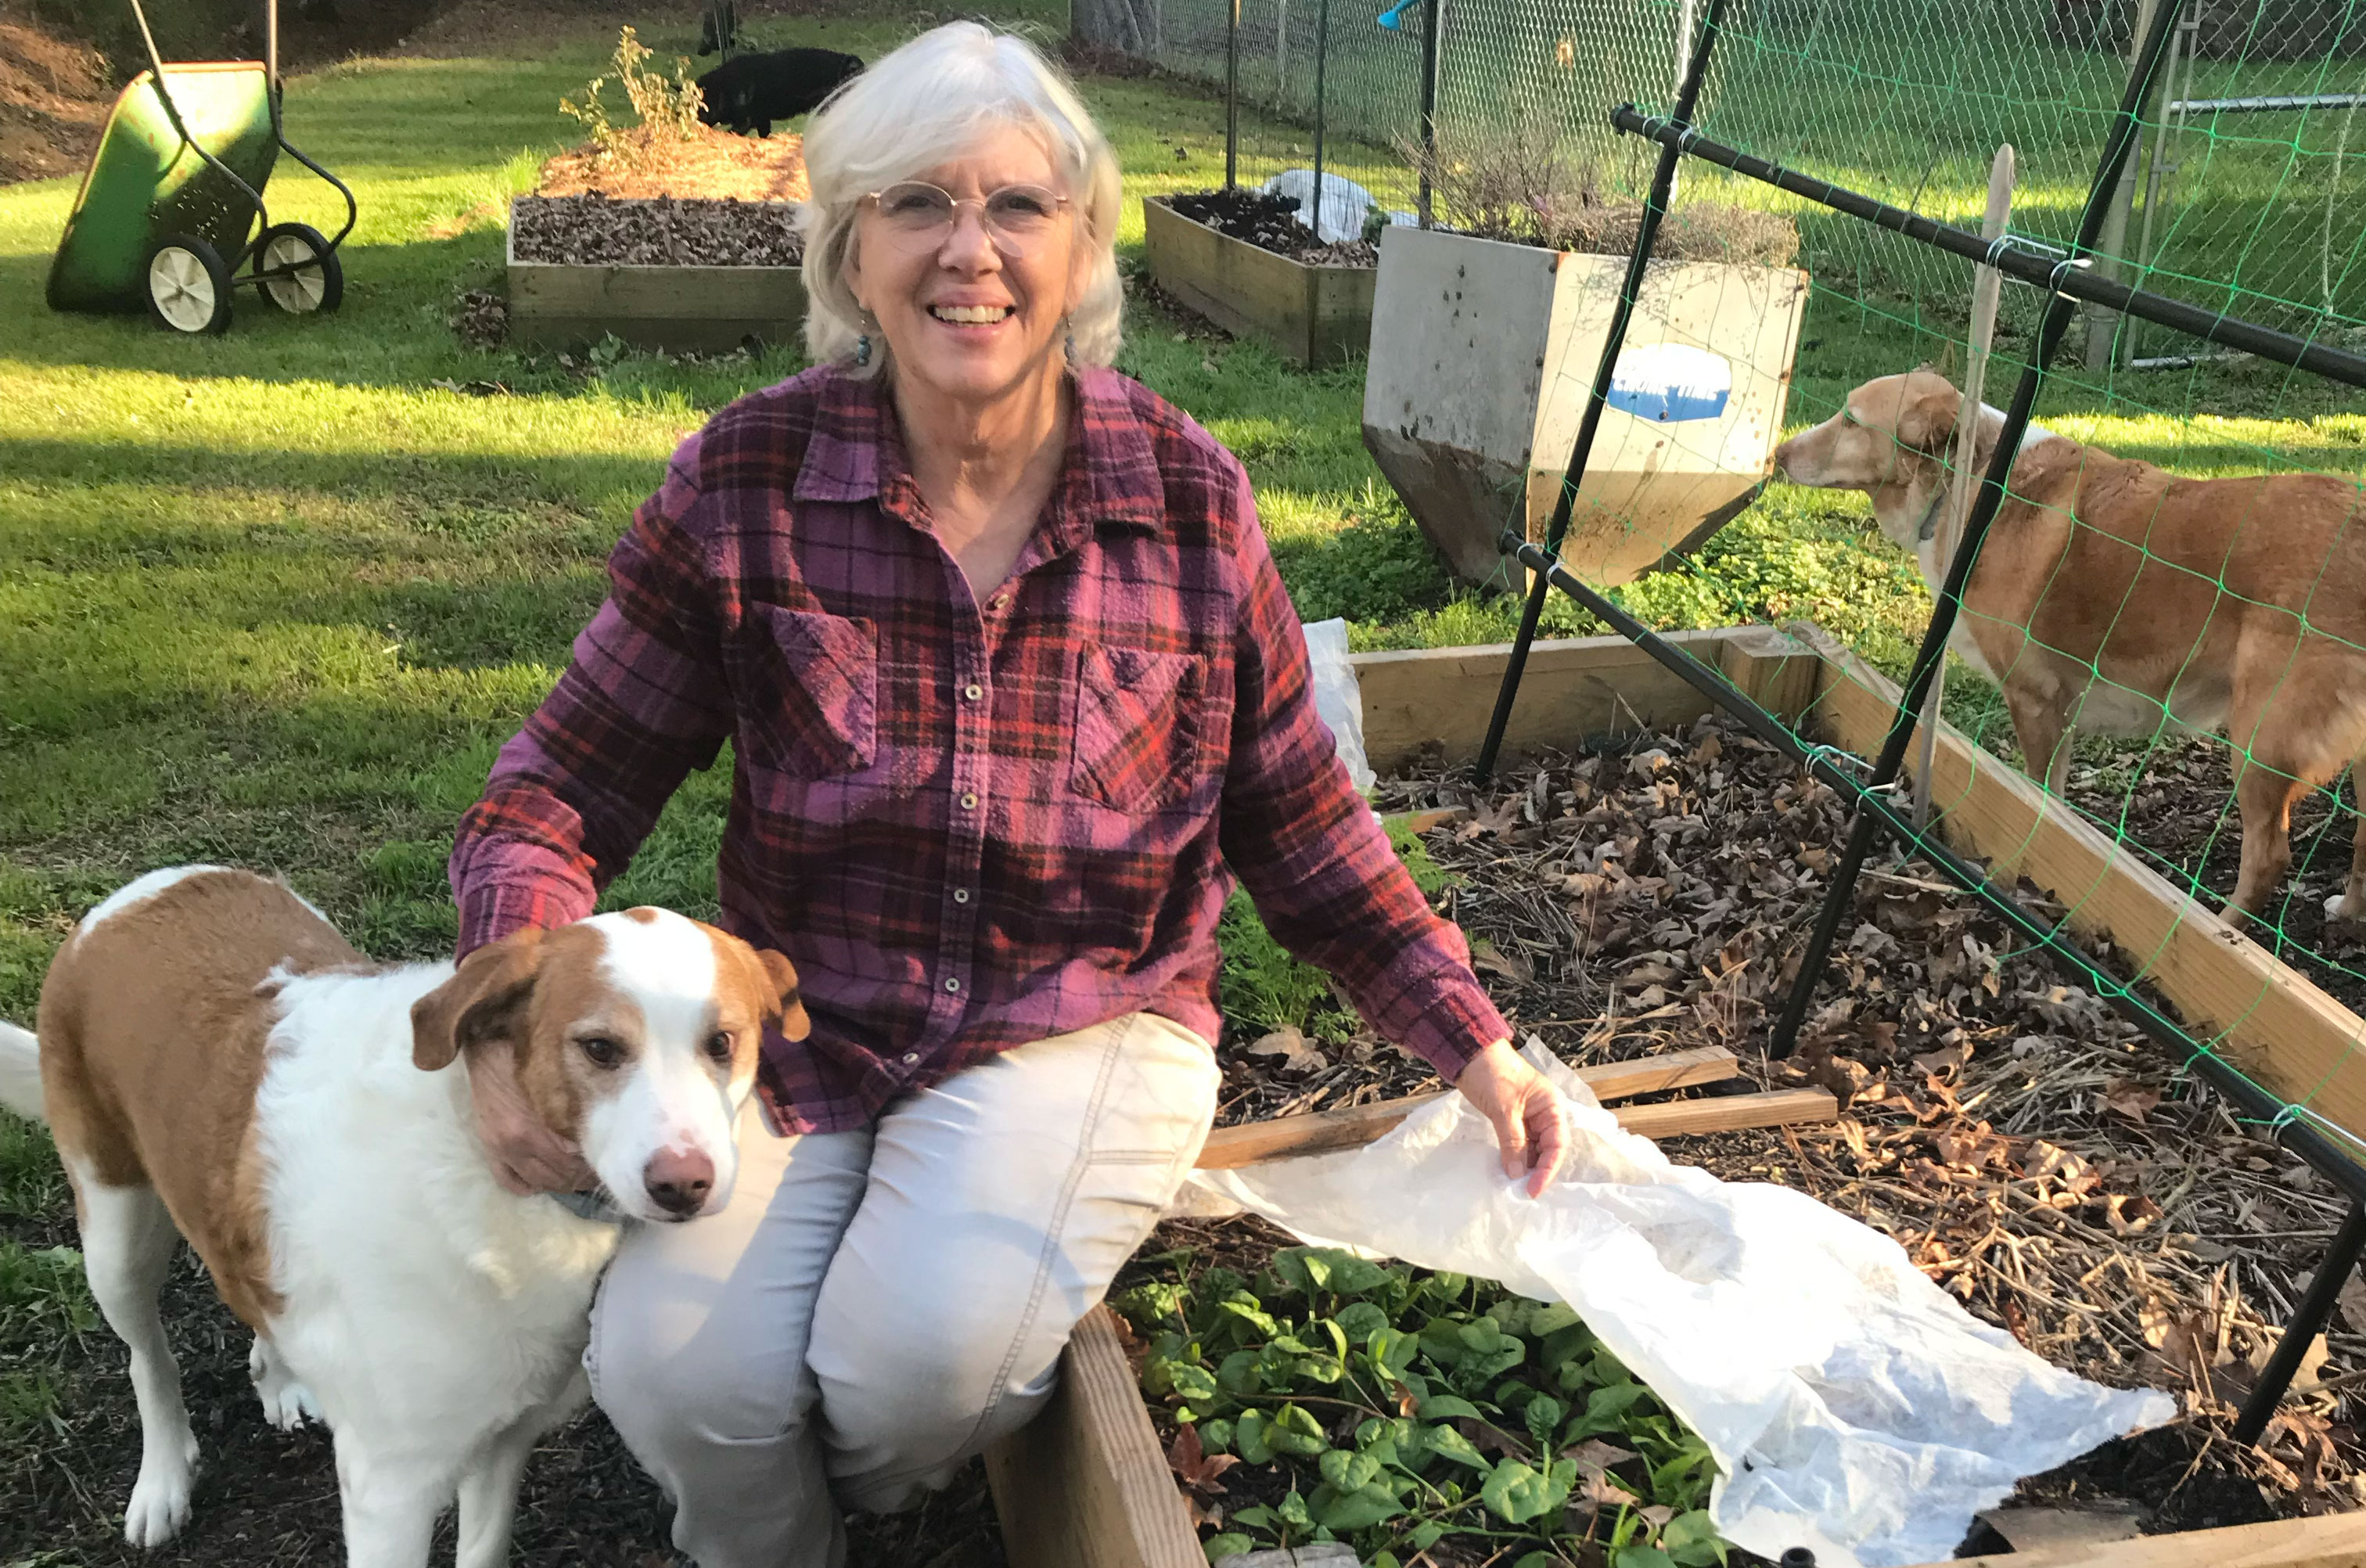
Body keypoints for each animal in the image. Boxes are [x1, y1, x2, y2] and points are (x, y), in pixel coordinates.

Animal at [0, 865, 809, 1560]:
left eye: (723, 1044)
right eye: (601, 1049)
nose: (685, 1185)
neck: (482, 1162)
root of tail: (137, 894)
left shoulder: (501, 1443)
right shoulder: (390, 1490)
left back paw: (279, 1376)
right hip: (115, 1229)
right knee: (147, 1357)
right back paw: (163, 1479)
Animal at [696, 49, 865, 138]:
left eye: (699, 106)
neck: (725, 90)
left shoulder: (746, 120)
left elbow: (733, 131)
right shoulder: (761, 118)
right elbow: (764, 133)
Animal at [1779, 373, 2366, 926]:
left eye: (1851, 421)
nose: (1778, 454)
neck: (1966, 480)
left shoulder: (2035, 701)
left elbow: (2042, 807)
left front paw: (2016, 881)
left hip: (2260, 742)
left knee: (2268, 858)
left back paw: (2220, 928)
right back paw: (2349, 912)